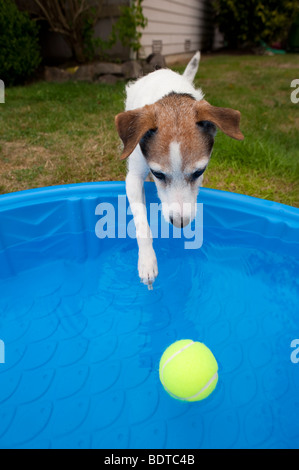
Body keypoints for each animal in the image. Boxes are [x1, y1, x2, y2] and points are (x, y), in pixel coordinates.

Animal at [115, 50, 244, 286]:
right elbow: (141, 221)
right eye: (158, 173)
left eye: (199, 172)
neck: (172, 102)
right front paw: (147, 261)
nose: (180, 223)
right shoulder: (134, 177)